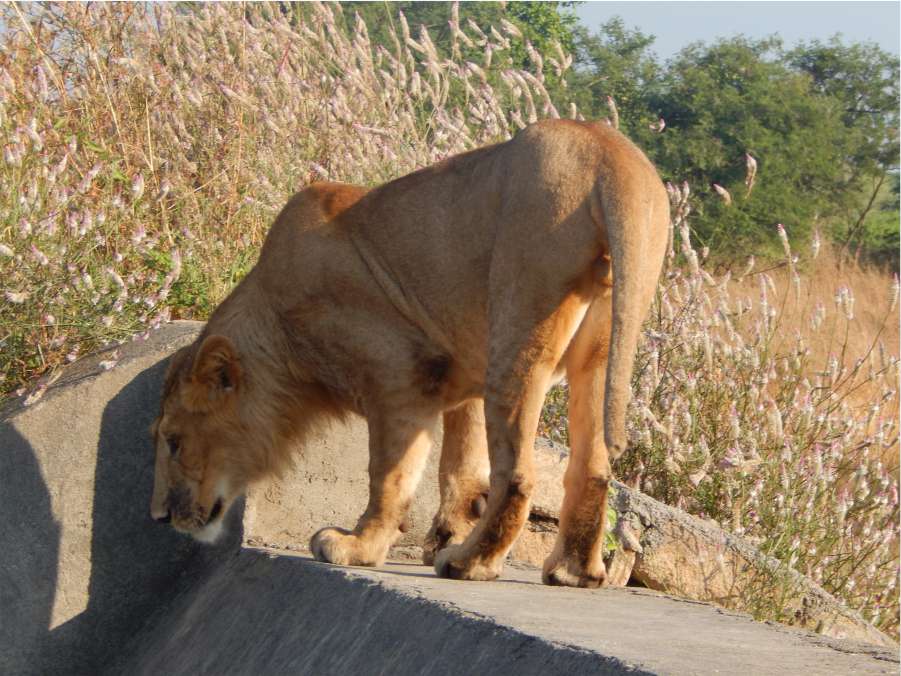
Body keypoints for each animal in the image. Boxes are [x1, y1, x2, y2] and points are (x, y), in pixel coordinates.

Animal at [149, 120, 668, 588]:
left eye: (173, 441)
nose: (158, 516)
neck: (276, 323)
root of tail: (606, 150)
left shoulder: (400, 376)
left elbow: (391, 474)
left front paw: (358, 546)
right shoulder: (462, 374)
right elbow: (460, 468)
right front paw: (444, 535)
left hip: (519, 329)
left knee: (517, 474)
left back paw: (470, 564)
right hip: (600, 345)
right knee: (592, 467)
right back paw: (572, 572)